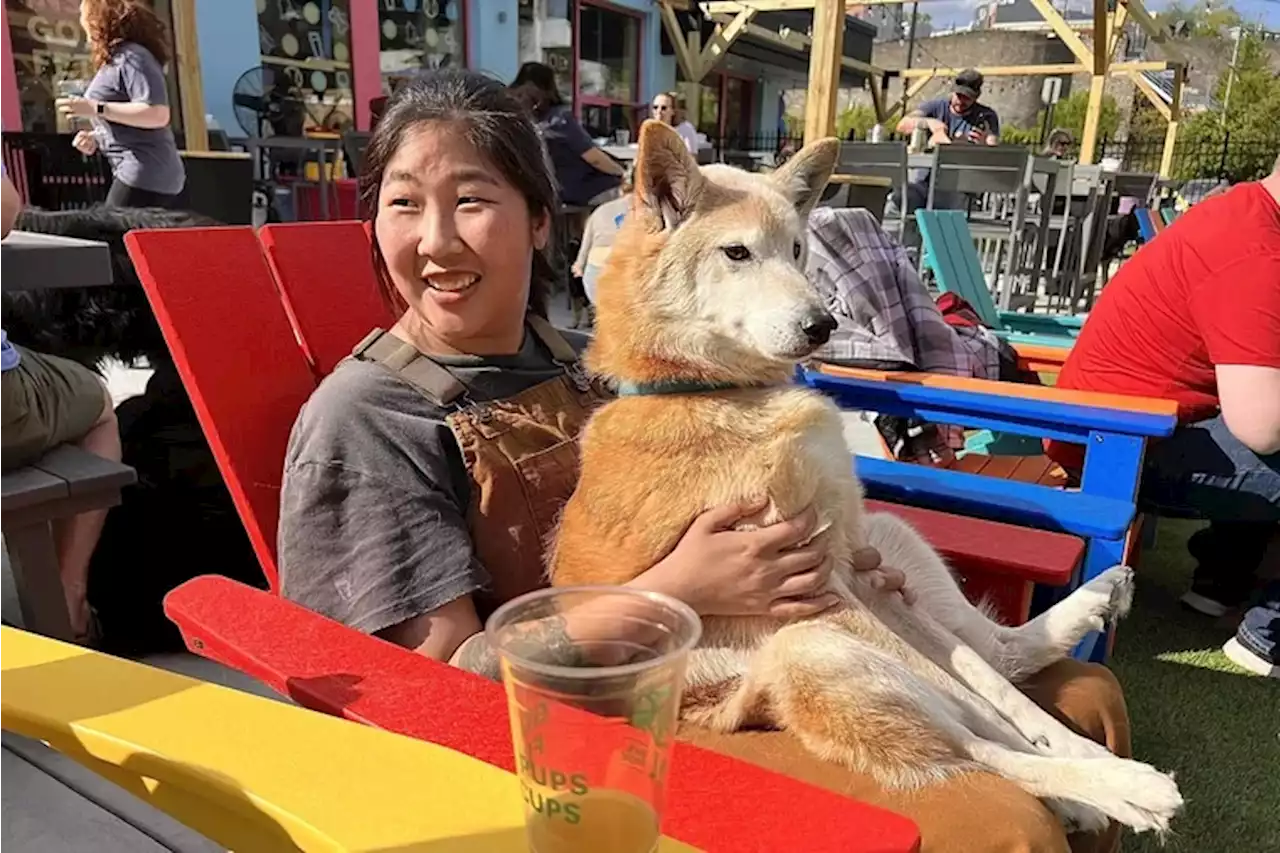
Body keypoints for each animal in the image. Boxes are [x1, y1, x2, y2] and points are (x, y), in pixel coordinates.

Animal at [545, 119, 1182, 829]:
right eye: (737, 253)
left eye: (798, 250)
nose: (823, 324)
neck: (705, 387)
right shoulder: (819, 590)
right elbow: (983, 714)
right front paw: (1088, 770)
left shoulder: (851, 569)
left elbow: (988, 685)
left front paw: (1072, 743)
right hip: (809, 648)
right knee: (981, 751)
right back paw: (1114, 787)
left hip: (888, 540)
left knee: (996, 656)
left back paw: (1094, 622)